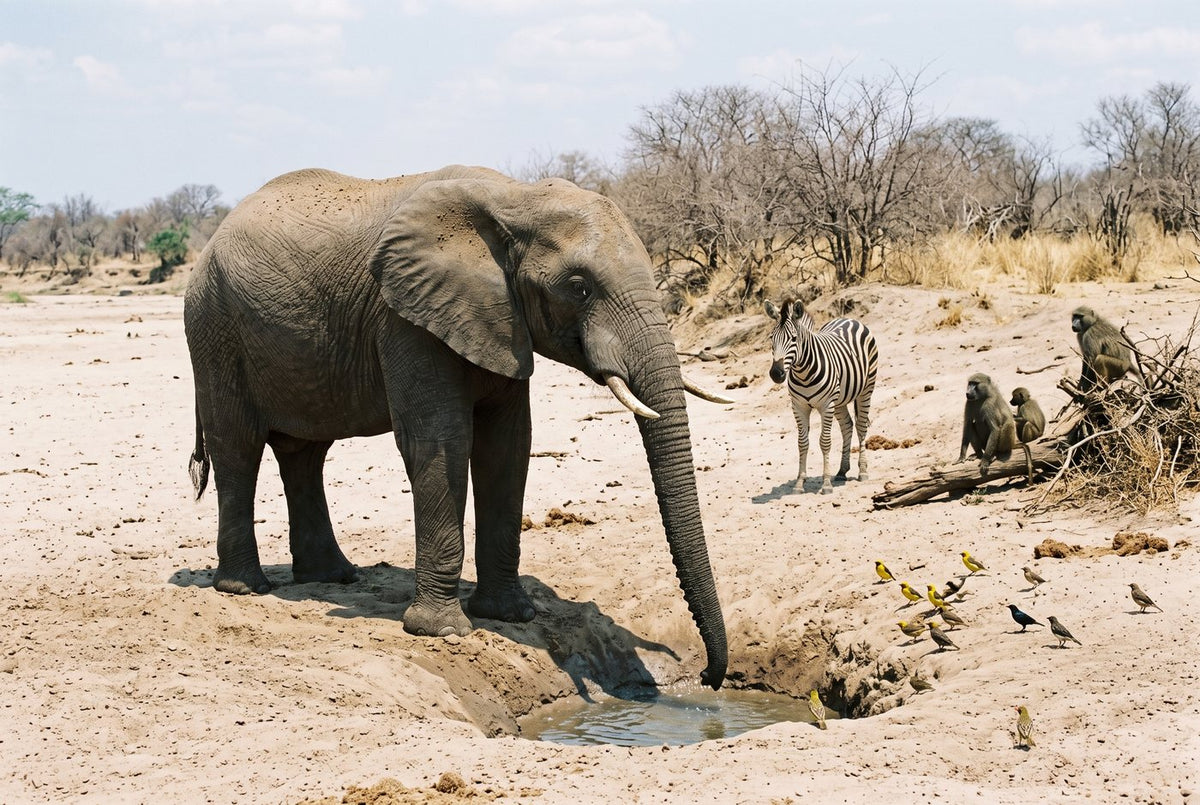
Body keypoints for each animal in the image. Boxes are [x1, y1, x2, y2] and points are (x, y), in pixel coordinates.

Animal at [183, 165, 729, 689]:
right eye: (579, 287)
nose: (707, 675)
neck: (514, 198)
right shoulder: (404, 317)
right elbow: (440, 440)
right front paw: (443, 631)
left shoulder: (499, 320)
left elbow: (507, 446)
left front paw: (509, 615)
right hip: (213, 327)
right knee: (238, 447)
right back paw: (246, 588)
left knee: (305, 453)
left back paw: (334, 577)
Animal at [763, 298, 879, 494]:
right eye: (772, 338)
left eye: (793, 338)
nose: (776, 374)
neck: (803, 373)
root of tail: (848, 319)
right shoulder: (799, 406)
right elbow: (802, 443)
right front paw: (799, 483)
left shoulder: (826, 405)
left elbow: (825, 442)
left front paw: (826, 484)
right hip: (840, 400)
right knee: (847, 426)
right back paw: (841, 471)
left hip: (865, 390)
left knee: (861, 427)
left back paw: (862, 471)